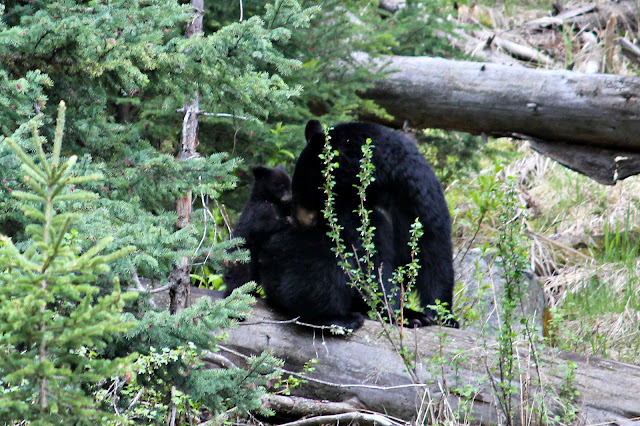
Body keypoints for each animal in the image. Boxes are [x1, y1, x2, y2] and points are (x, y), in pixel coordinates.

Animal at [224, 165, 292, 294]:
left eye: (289, 186)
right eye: (281, 187)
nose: (289, 198)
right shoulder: (260, 210)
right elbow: (261, 227)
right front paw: (288, 220)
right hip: (243, 256)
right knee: (242, 275)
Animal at [260, 120, 456, 330]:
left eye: (303, 192)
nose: (299, 221)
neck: (379, 186)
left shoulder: (416, 193)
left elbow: (433, 249)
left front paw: (445, 315)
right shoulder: (352, 212)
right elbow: (370, 259)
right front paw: (406, 315)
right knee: (319, 275)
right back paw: (337, 318)